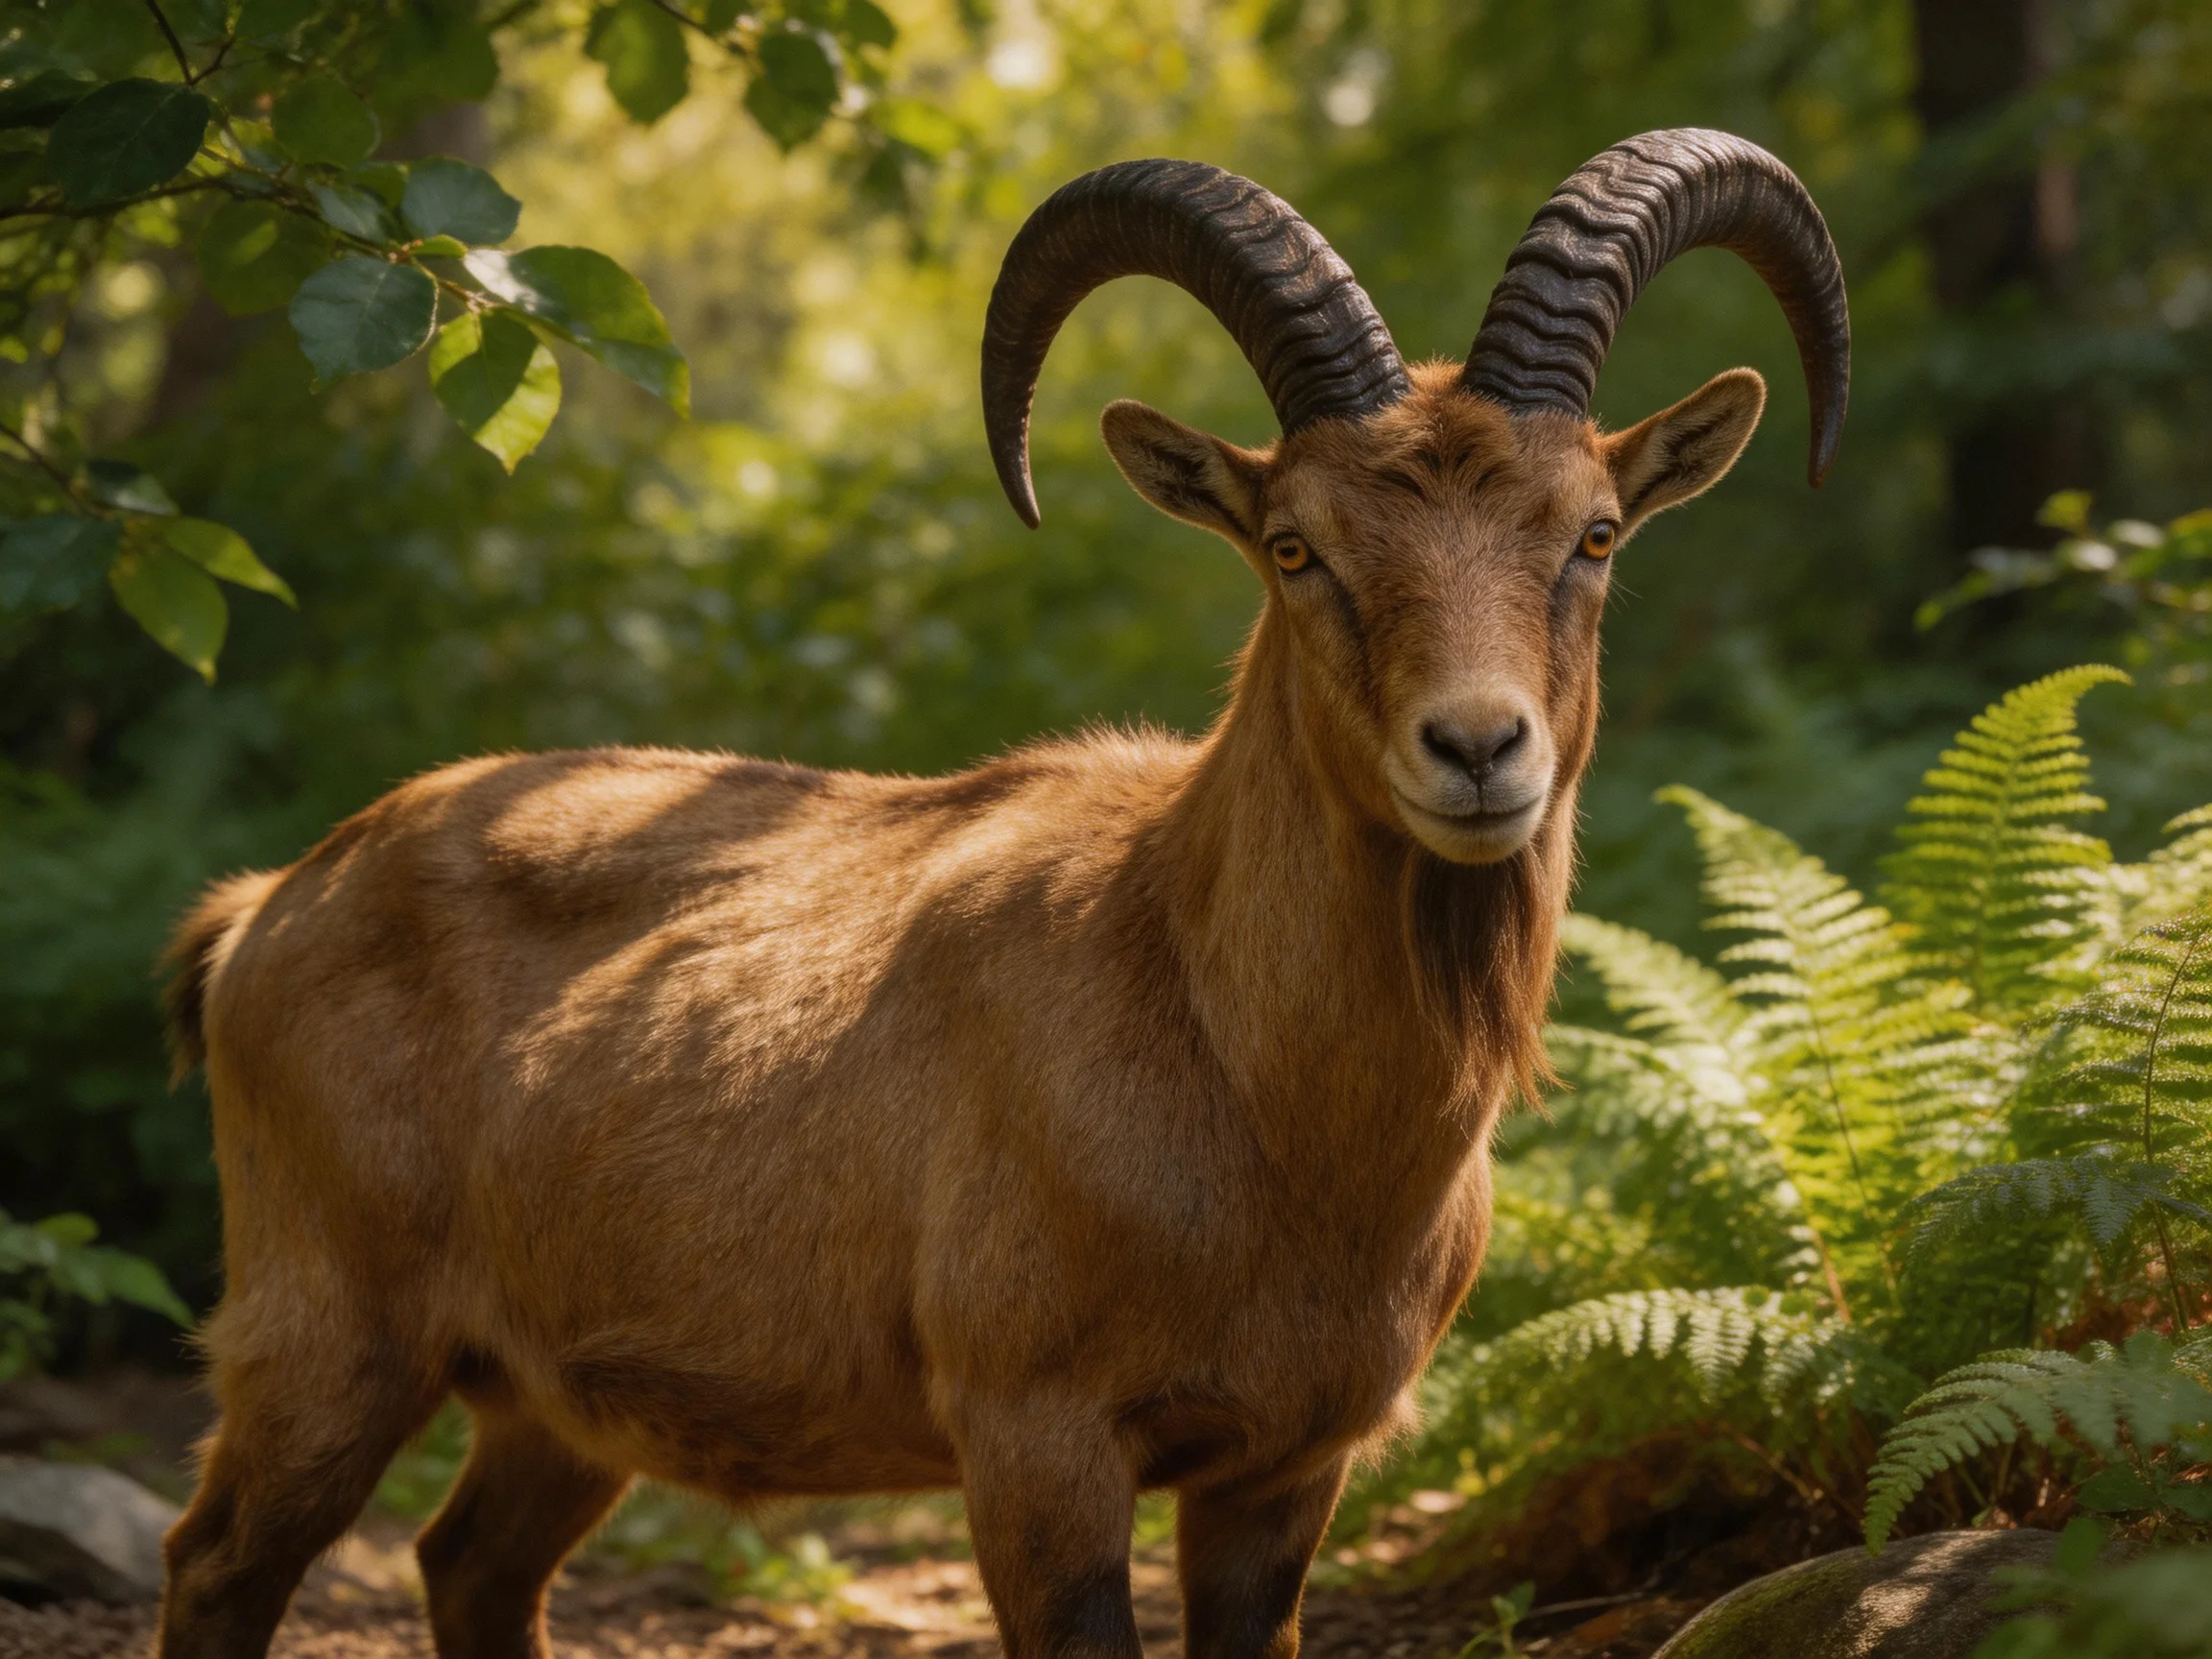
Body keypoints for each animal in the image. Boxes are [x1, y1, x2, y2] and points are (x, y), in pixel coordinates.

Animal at [156, 128, 1848, 1659]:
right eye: (1295, 545)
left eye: (1594, 534)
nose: (1481, 750)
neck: (1247, 1083)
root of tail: (264, 910)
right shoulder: (1037, 1437)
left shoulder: (1287, 1467)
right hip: (329, 1331)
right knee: (220, 1559)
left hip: (552, 1401)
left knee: (473, 1567)